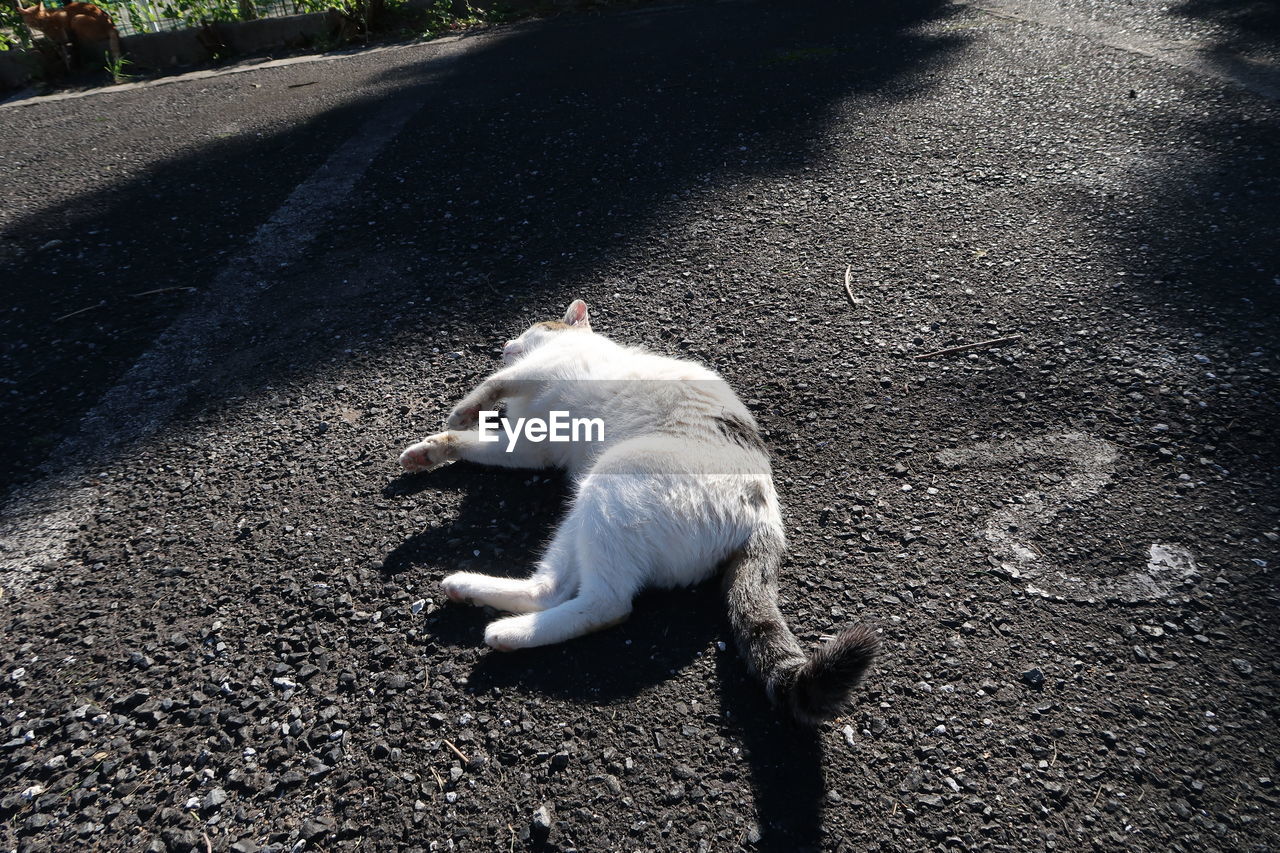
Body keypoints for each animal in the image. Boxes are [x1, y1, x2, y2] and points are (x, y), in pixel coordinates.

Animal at [401, 300, 880, 722]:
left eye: (536, 326)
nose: (505, 344)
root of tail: (765, 515)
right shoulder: (528, 448)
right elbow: (474, 444)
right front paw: (428, 452)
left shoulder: (543, 370)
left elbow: (497, 383)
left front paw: (461, 412)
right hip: (582, 514)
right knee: (551, 590)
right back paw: (472, 591)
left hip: (610, 485)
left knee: (608, 604)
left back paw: (506, 633)